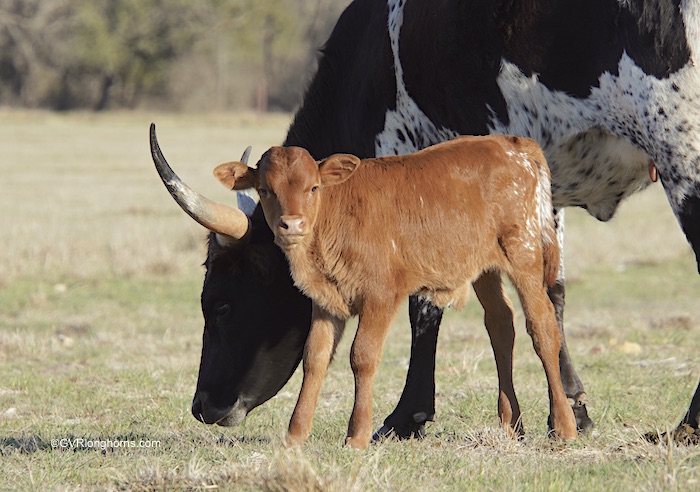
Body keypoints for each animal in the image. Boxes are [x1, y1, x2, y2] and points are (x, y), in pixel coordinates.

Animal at [216, 135, 576, 450]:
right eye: (265, 190)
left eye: (313, 187)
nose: (292, 225)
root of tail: (512, 143)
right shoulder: (326, 300)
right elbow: (315, 358)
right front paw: (295, 434)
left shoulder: (380, 295)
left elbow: (362, 356)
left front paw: (357, 435)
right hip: (484, 268)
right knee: (501, 325)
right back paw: (510, 422)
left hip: (524, 254)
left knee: (543, 326)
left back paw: (564, 425)